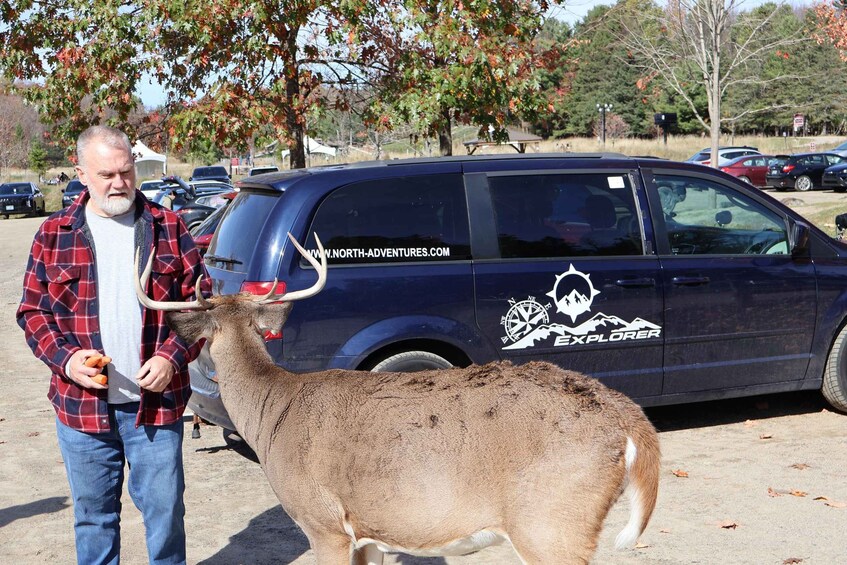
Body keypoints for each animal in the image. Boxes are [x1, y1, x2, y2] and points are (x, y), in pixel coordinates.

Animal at [134, 234, 661, 565]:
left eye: (204, 343)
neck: (273, 410)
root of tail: (628, 417)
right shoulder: (370, 532)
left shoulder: (323, 523)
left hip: (552, 523)